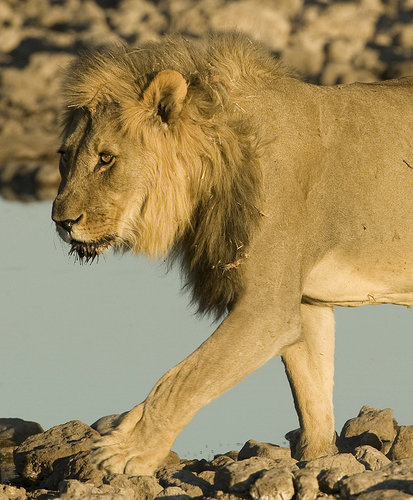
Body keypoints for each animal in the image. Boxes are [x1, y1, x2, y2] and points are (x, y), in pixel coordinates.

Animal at [51, 34, 412, 472]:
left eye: (106, 158)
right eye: (64, 156)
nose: (60, 221)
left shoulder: (267, 309)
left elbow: (185, 378)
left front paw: (127, 452)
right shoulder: (303, 304)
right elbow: (312, 397)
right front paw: (316, 461)